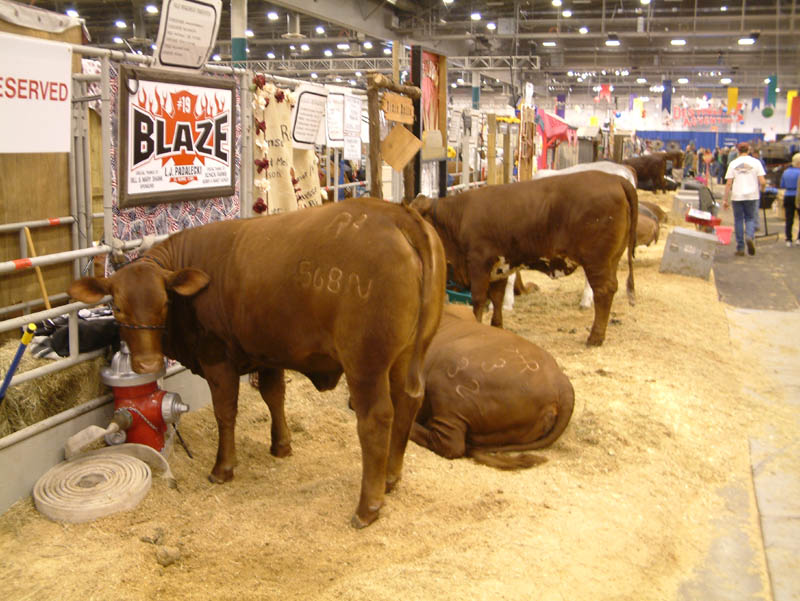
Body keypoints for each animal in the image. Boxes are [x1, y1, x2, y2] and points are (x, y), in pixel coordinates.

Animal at [69, 199, 450, 528]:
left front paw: (222, 468)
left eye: (164, 303)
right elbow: (273, 395)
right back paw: (391, 477)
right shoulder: (268, 352)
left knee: (376, 419)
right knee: (409, 402)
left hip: (366, 364)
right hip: (410, 354)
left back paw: (367, 507)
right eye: (117, 307)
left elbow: (226, 412)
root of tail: (394, 212)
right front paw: (281, 446)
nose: (148, 365)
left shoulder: (217, 358)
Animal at [412, 170, 636, 346]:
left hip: (596, 261)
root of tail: (615, 179)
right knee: (611, 288)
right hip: (612, 260)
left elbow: (479, 299)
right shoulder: (500, 267)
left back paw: (594, 337)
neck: (457, 218)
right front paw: (497, 326)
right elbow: (497, 297)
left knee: (603, 292)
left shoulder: (478, 263)